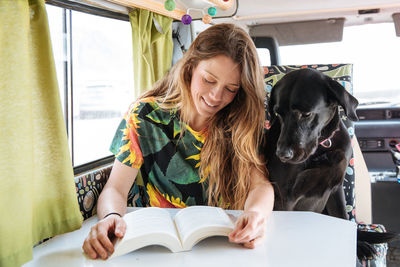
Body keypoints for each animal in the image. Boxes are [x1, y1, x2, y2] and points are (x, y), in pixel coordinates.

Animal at [262, 68, 396, 260]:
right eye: (279, 113)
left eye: (306, 114)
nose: (282, 154)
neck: (323, 146)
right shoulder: (284, 196)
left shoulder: (335, 188)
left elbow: (343, 217)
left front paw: (356, 245)